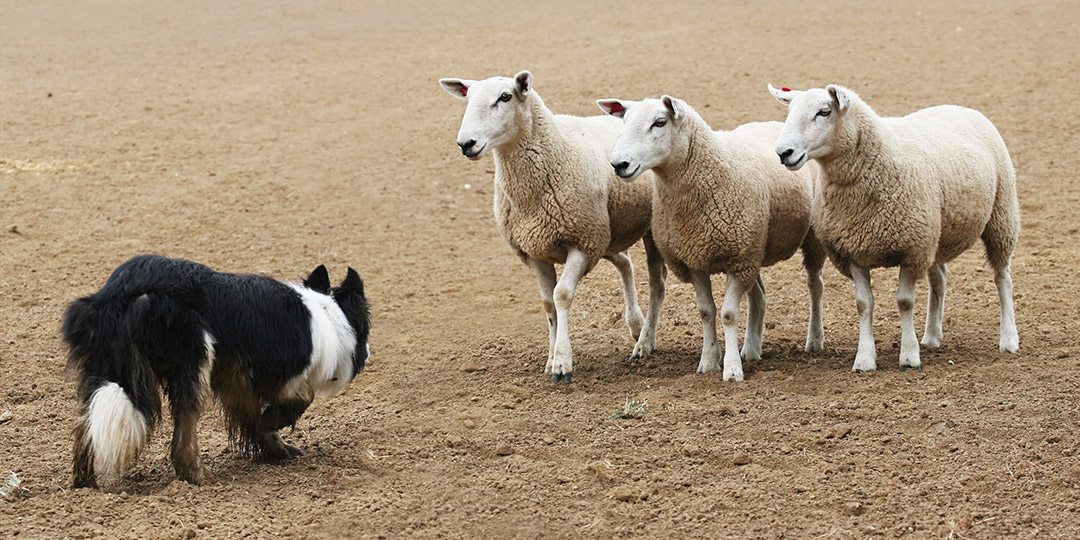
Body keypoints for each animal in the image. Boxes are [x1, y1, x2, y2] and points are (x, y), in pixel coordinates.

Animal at [61, 254, 371, 488]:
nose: (369, 352)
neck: (325, 314)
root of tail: (121, 292)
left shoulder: (235, 379)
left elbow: (253, 418)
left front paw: (277, 449)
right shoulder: (280, 373)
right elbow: (302, 397)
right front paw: (273, 422)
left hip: (103, 369)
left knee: (85, 423)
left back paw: (85, 482)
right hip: (193, 362)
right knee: (185, 427)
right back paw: (196, 475)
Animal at [438, 71, 665, 384]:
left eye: (505, 97)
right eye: (468, 99)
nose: (466, 143)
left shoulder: (581, 243)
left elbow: (562, 295)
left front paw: (562, 362)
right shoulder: (536, 250)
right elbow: (547, 304)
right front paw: (549, 359)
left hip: (638, 232)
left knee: (656, 283)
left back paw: (645, 340)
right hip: (606, 233)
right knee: (624, 263)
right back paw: (635, 324)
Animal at [596, 95, 820, 382]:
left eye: (660, 122)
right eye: (624, 121)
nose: (619, 164)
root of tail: (772, 123)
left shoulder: (737, 260)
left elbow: (728, 314)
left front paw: (732, 369)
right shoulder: (696, 261)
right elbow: (706, 312)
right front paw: (709, 360)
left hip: (802, 240)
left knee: (815, 286)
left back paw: (814, 340)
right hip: (754, 249)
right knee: (759, 295)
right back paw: (751, 349)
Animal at [773, 83, 1015, 371]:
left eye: (824, 112)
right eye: (789, 111)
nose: (783, 153)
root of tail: (959, 107)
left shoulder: (911, 249)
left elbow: (905, 301)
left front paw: (909, 356)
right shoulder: (854, 250)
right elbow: (863, 304)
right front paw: (865, 359)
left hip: (1001, 216)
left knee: (1002, 278)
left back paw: (1009, 339)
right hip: (936, 235)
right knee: (939, 279)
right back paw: (932, 336)